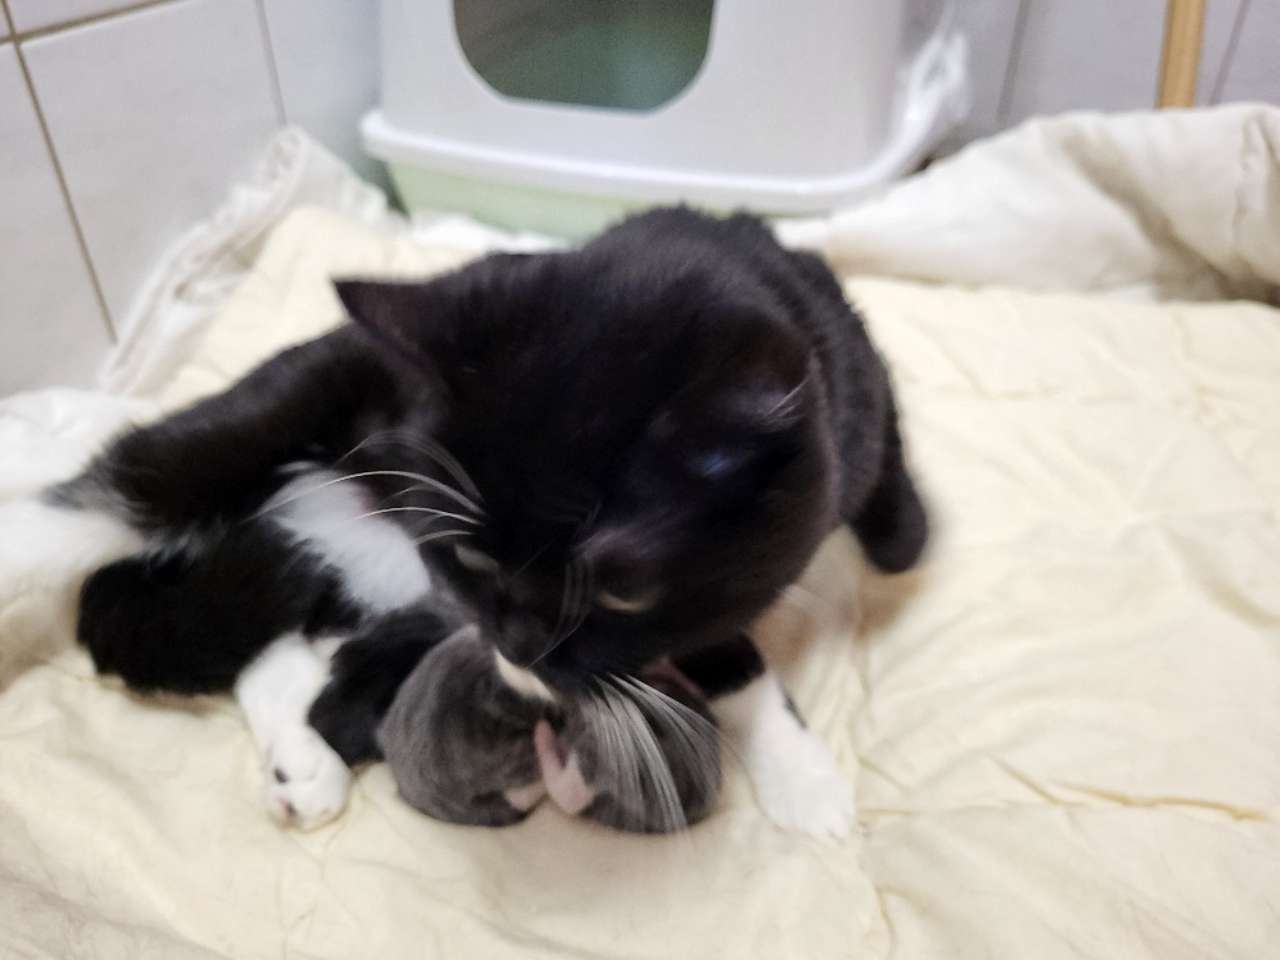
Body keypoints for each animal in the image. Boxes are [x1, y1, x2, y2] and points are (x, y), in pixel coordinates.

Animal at [30, 207, 926, 837]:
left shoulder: (839, 397)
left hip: (371, 578)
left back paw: (304, 762)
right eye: (471, 553)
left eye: (621, 591)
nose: (518, 651)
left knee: (278, 642)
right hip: (301, 390)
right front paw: (804, 776)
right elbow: (721, 642)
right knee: (137, 480)